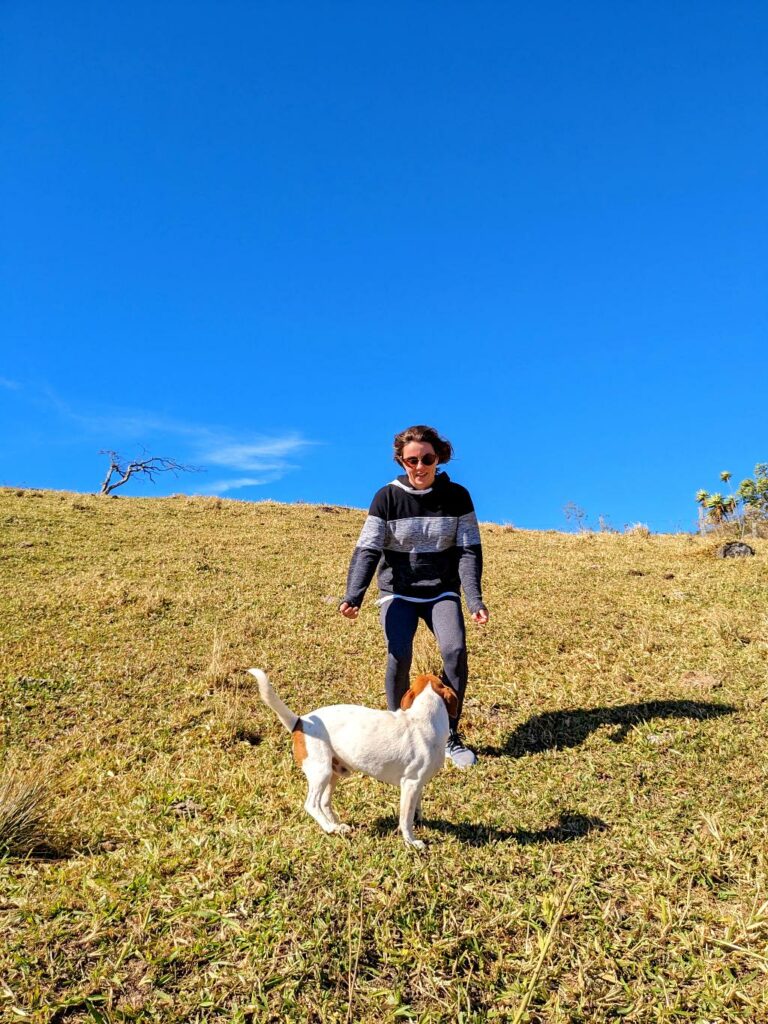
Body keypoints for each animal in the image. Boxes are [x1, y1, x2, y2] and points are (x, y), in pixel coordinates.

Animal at [249, 667, 460, 843]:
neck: (423, 717)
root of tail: (299, 721)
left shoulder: (417, 784)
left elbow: (416, 807)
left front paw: (419, 820)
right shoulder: (410, 783)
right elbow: (405, 819)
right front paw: (412, 842)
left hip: (334, 773)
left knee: (324, 802)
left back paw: (337, 825)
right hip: (321, 771)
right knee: (312, 804)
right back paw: (330, 828)